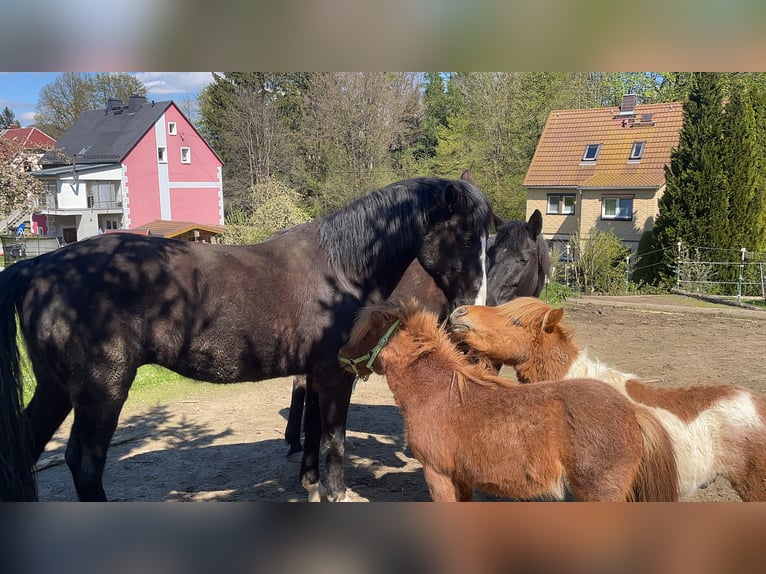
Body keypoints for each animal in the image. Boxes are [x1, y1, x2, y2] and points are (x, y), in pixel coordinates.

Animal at [0, 177, 498, 504]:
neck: (339, 269)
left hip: (55, 390)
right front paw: (334, 492)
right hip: (100, 393)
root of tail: (38, 267)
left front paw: (310, 484)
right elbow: (334, 438)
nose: (472, 307)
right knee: (84, 463)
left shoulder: (314, 375)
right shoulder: (336, 376)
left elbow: (312, 431)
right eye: (464, 235)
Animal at [340, 302, 680, 504]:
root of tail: (633, 412)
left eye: (366, 333)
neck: (438, 394)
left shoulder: (437, 475)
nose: (340, 356)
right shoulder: (461, 479)